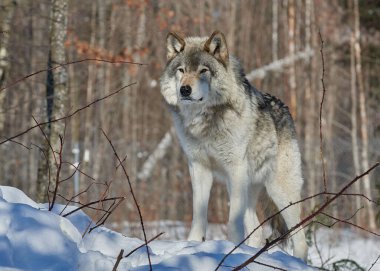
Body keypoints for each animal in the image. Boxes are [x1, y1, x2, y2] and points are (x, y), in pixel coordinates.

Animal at [159, 30, 308, 262]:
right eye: (181, 70)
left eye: (203, 71)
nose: (185, 90)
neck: (205, 121)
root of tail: (285, 108)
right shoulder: (198, 168)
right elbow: (199, 215)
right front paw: (192, 245)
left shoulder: (235, 168)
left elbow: (232, 221)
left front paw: (231, 250)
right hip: (246, 187)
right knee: (257, 233)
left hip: (279, 192)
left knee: (301, 239)